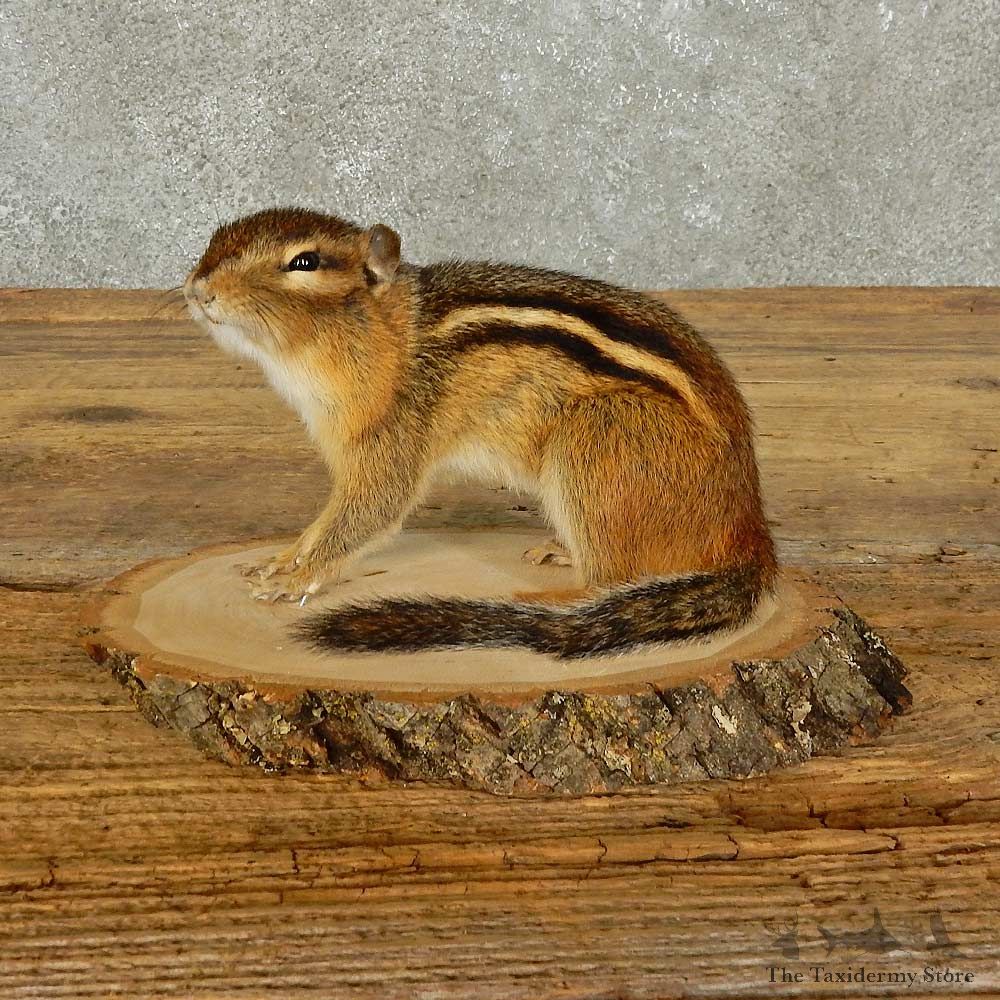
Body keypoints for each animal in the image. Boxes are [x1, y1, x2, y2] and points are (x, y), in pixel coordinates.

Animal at [184, 207, 777, 659]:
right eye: (216, 235)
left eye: (304, 261)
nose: (197, 288)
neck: (393, 334)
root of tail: (749, 528)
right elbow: (321, 523)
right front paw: (281, 558)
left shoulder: (392, 440)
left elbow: (364, 515)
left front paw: (295, 579)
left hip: (596, 443)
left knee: (615, 578)